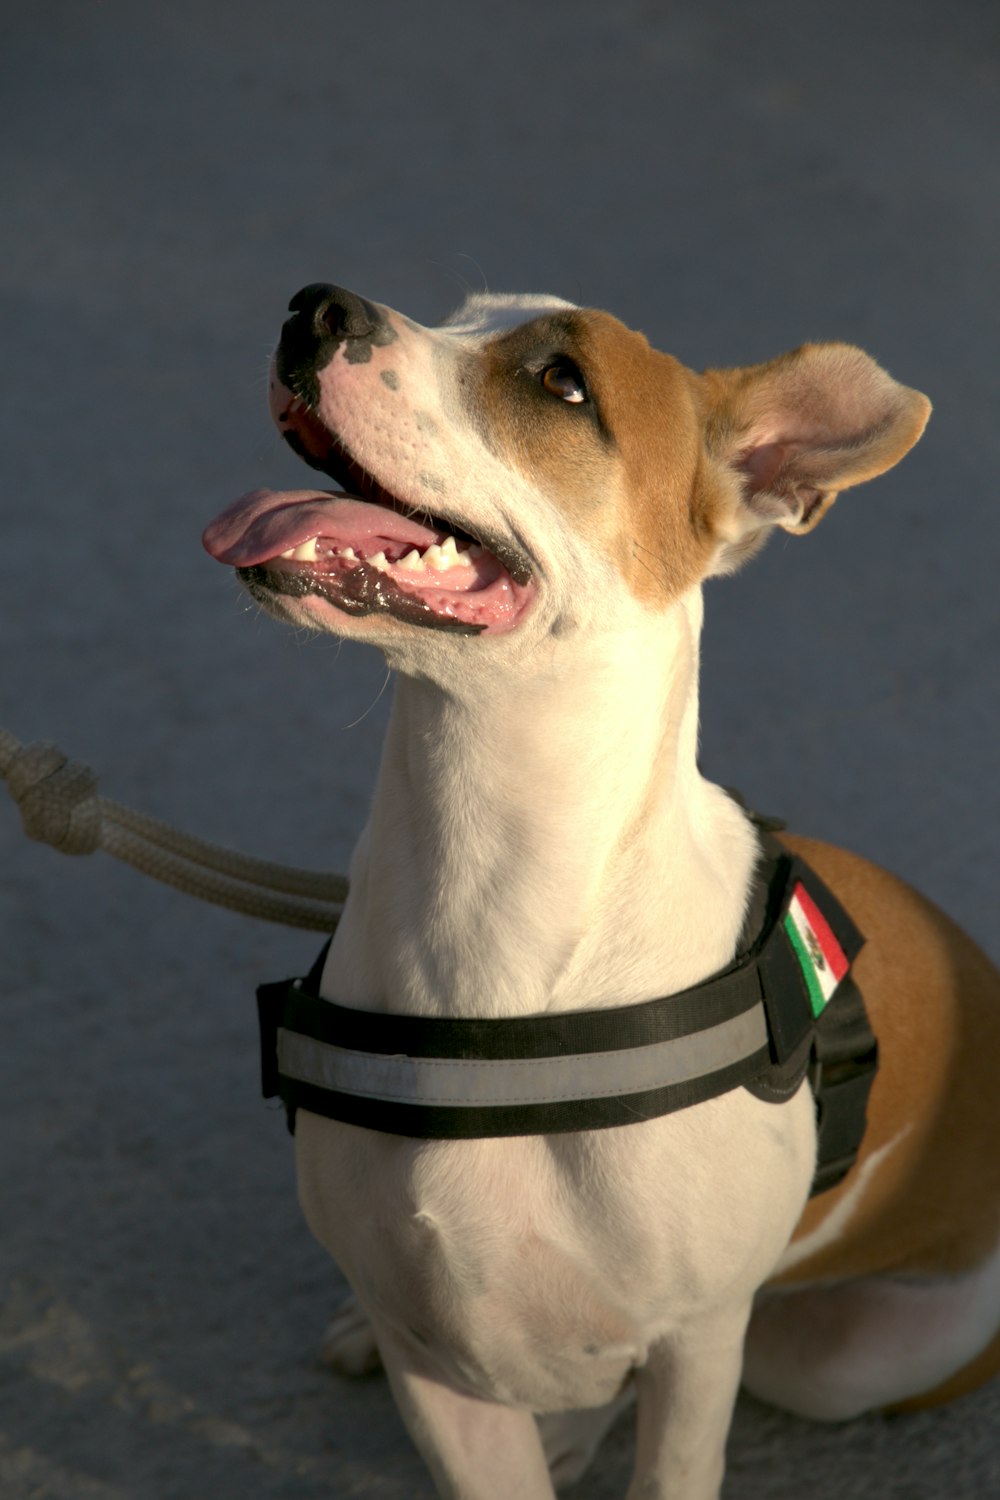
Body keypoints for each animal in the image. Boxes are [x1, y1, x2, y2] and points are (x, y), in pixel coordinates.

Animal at [200, 283, 1000, 1500]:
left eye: (562, 384)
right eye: (456, 312)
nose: (316, 305)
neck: (486, 883)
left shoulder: (699, 1345)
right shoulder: (427, 1361)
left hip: (843, 1359)